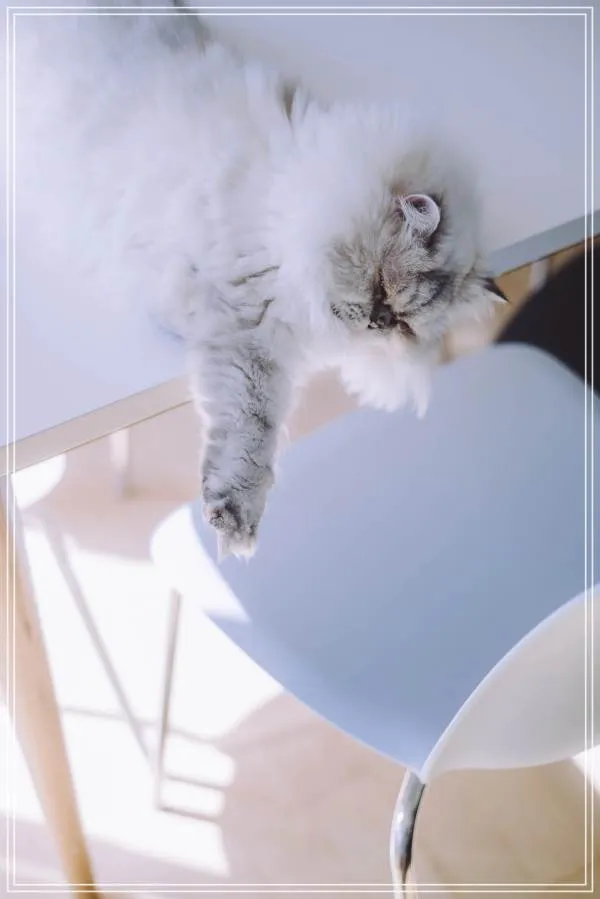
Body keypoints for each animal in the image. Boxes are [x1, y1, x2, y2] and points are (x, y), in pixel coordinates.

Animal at [13, 0, 506, 558]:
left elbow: (243, 431)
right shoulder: (243, 325)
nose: (377, 322)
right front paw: (235, 521)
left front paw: (230, 516)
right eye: (381, 287)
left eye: (402, 325)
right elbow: (252, 428)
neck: (287, 201)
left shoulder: (245, 338)